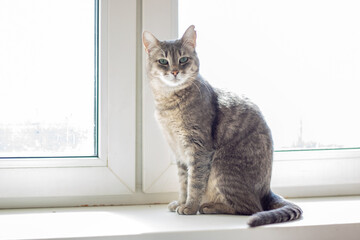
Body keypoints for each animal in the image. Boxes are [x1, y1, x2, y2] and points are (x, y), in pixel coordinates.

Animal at [142, 25, 302, 227]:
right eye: (163, 61)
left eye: (183, 59)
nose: (175, 71)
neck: (168, 103)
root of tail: (267, 191)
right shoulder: (178, 153)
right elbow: (183, 183)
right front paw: (180, 202)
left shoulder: (199, 148)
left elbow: (194, 182)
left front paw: (189, 207)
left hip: (222, 165)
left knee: (250, 207)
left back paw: (209, 207)